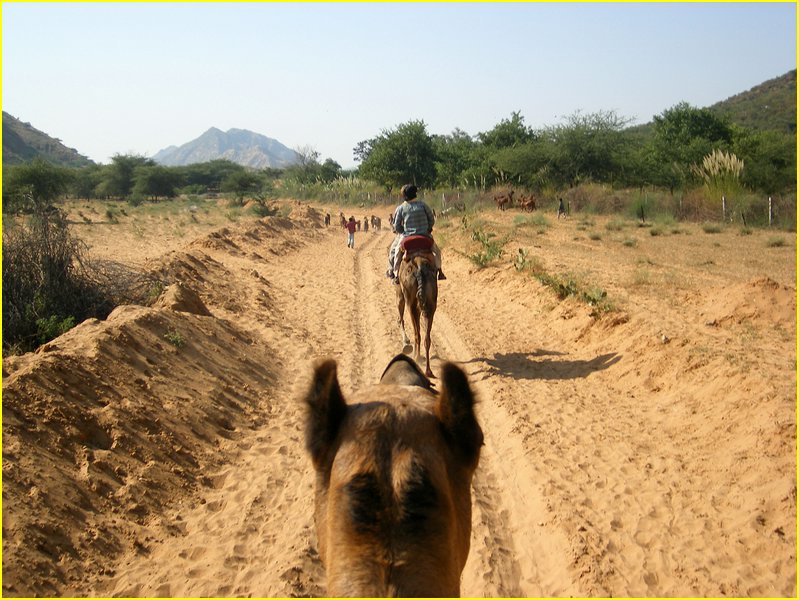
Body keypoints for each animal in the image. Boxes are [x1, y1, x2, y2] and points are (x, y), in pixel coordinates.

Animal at [396, 234, 440, 376]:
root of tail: (420, 266)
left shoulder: (400, 293)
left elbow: (401, 316)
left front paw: (406, 344)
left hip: (410, 299)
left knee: (416, 332)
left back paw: (416, 357)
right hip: (431, 300)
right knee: (427, 337)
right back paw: (428, 370)